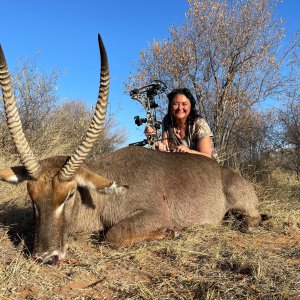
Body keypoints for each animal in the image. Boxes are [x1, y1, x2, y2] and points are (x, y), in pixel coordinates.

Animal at [0, 35, 260, 264]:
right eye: (32, 196)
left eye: (70, 194)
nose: (46, 256)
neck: (100, 199)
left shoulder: (155, 214)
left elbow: (112, 235)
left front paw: (171, 232)